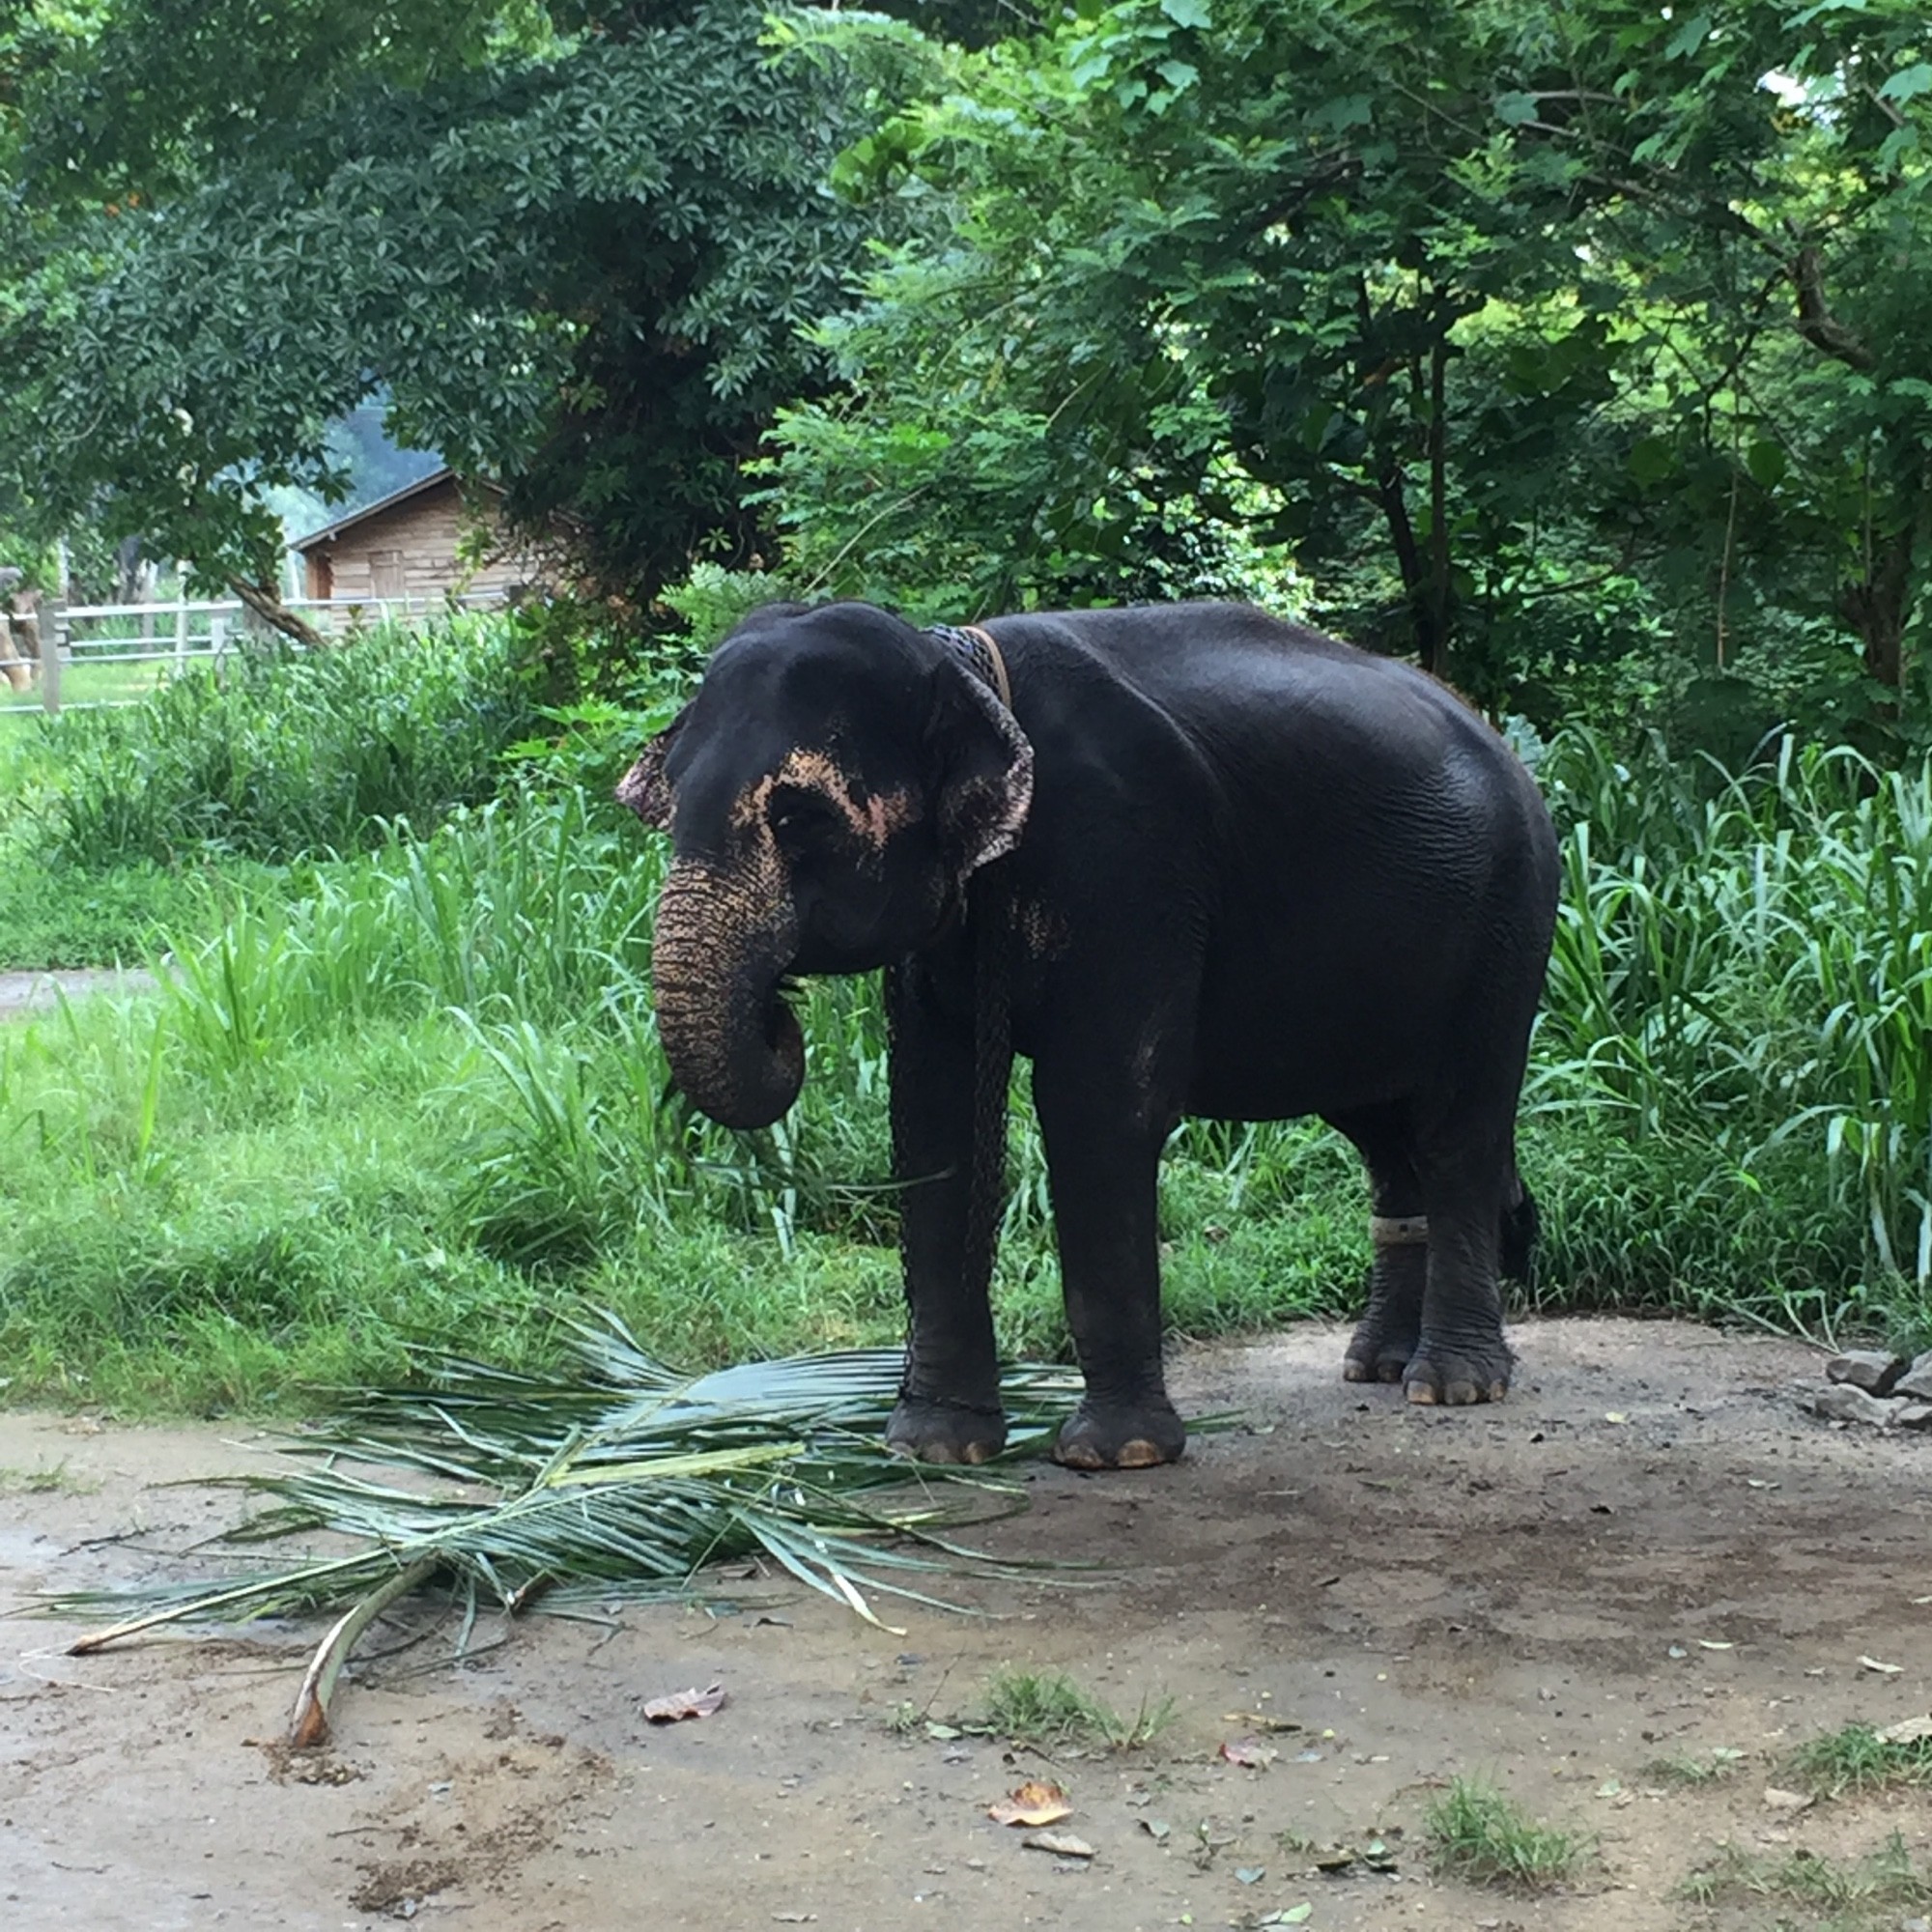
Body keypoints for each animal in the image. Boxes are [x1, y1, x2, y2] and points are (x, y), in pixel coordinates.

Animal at [626, 599, 1561, 1461]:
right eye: (665, 809)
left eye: (799, 818)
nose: (781, 1007)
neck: (954, 658)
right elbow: (933, 1118)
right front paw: (934, 1448)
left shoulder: (1129, 856)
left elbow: (1098, 1108)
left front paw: (1117, 1455)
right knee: (1383, 1137)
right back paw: (1377, 1366)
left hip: (1512, 919)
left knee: (1460, 1126)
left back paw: (1451, 1386)